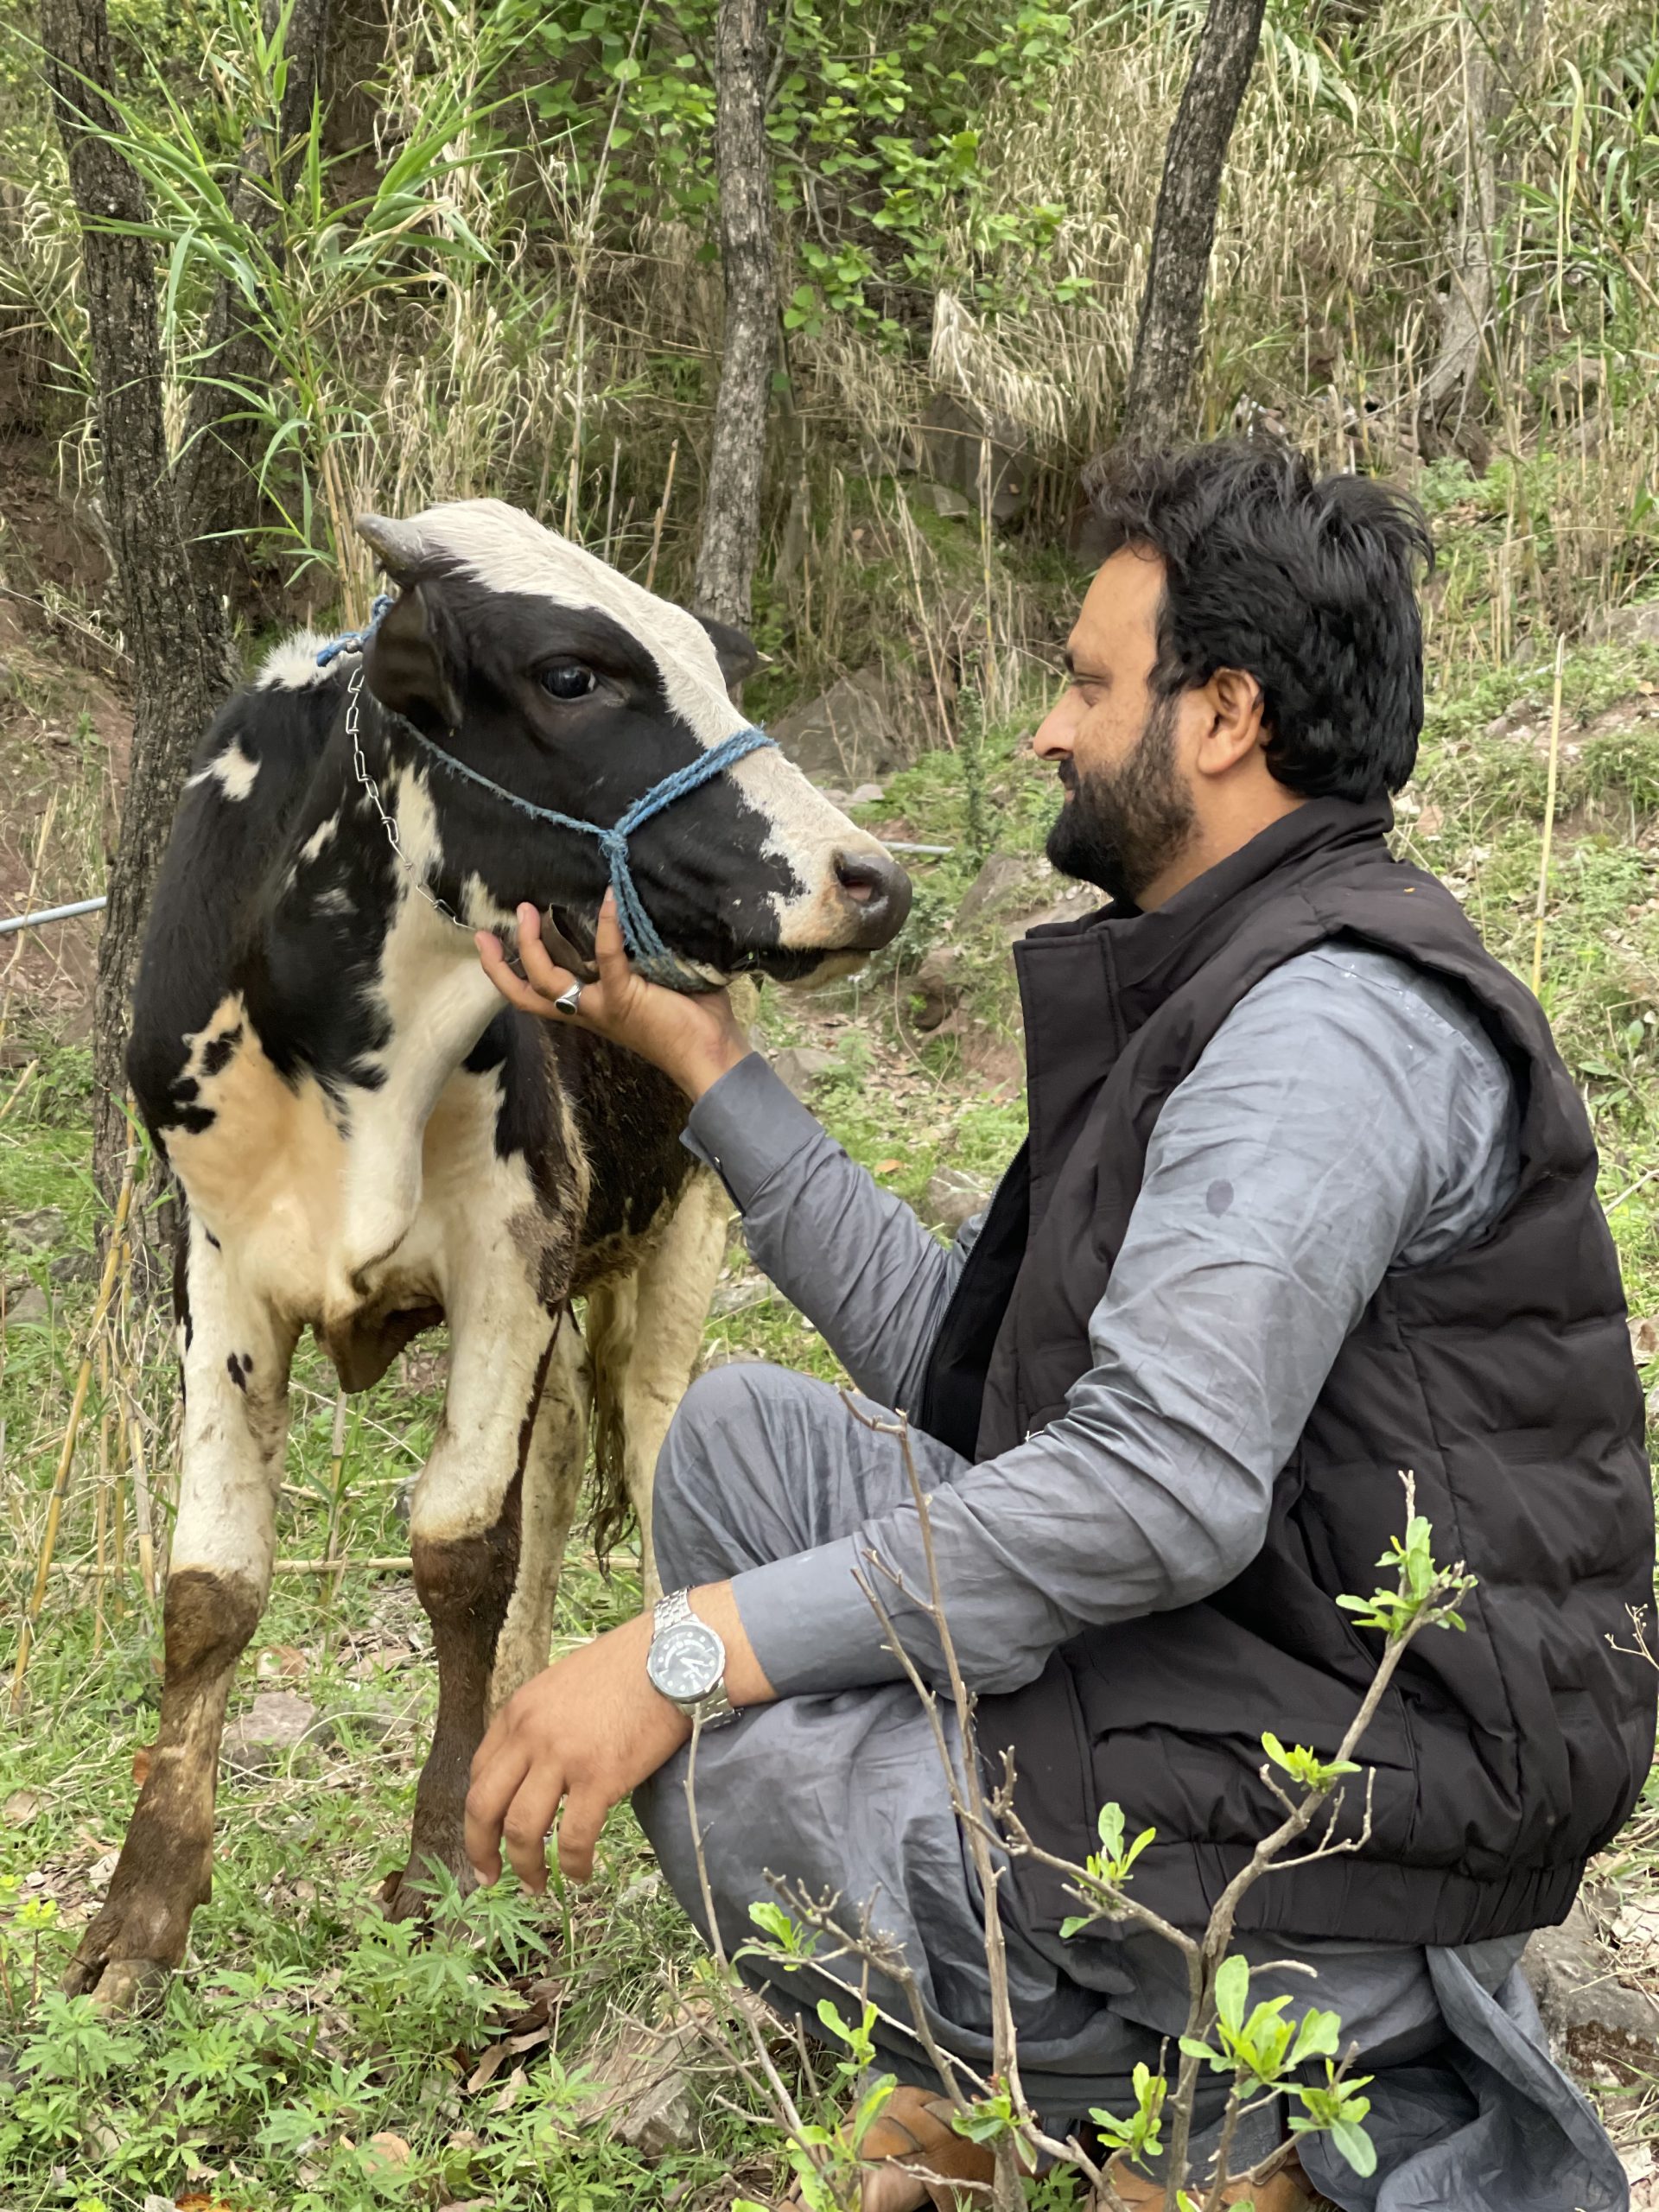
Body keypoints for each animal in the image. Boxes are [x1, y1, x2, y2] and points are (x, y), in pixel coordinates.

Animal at [71, 498, 915, 2008]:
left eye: (722, 668)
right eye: (572, 675)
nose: (869, 879)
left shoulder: (508, 1246)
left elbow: (458, 1549)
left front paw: (443, 1872)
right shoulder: (213, 1261)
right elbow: (213, 1585)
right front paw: (139, 1921)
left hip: (679, 1240)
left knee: (647, 1457)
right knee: (556, 1486)